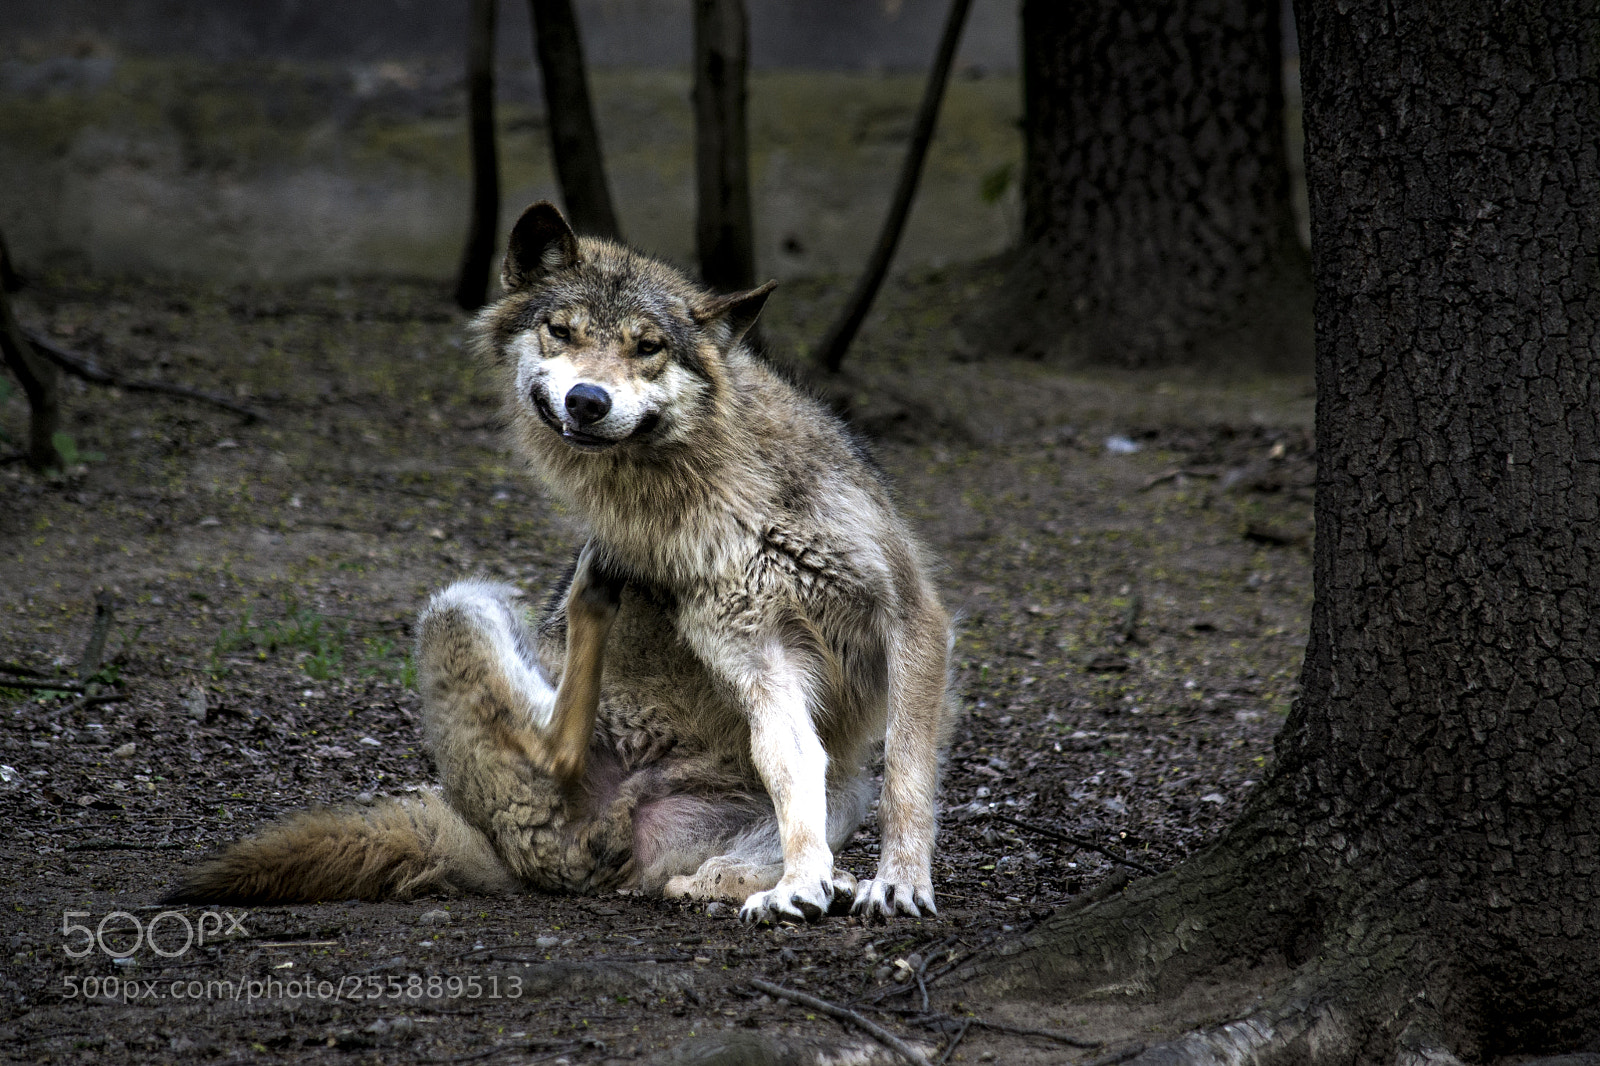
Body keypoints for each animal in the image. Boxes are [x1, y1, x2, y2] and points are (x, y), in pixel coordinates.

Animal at [166, 202, 955, 922]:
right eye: (562, 331)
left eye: (648, 347)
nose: (586, 398)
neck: (714, 492)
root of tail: (495, 846)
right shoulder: (758, 658)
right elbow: (796, 771)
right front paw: (807, 881)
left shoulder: (911, 619)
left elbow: (904, 775)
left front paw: (890, 882)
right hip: (460, 603)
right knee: (564, 753)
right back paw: (591, 592)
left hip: (835, 787)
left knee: (688, 877)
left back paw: (799, 882)